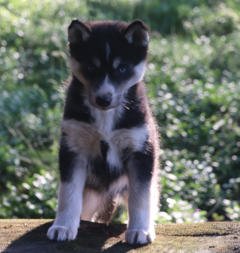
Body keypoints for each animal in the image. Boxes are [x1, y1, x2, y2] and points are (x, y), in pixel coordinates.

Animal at [47, 19, 159, 245]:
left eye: (122, 68)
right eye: (91, 67)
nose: (103, 99)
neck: (105, 117)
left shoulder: (141, 150)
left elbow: (140, 198)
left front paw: (140, 230)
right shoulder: (73, 147)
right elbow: (68, 194)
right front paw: (63, 226)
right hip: (90, 195)